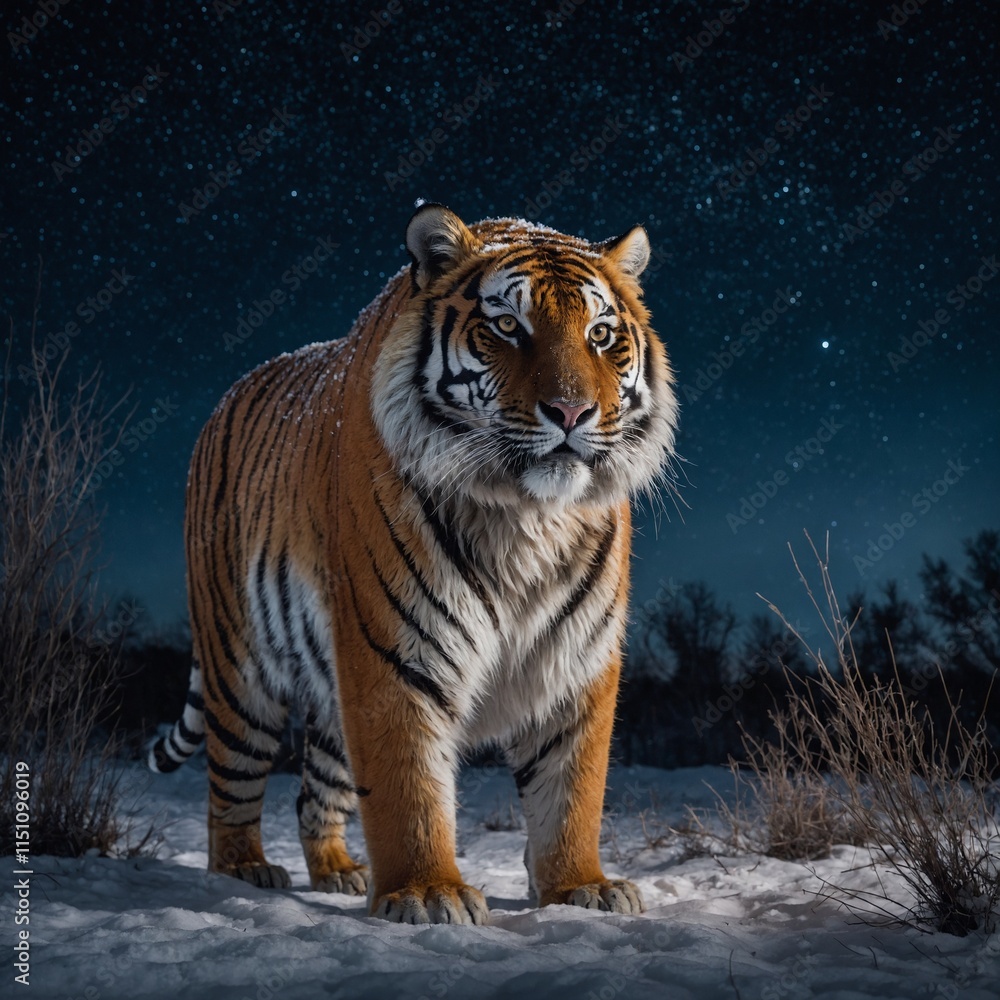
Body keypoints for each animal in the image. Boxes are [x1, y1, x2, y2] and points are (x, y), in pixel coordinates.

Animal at [149, 203, 678, 925]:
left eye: (600, 335)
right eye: (507, 326)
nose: (572, 412)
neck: (528, 517)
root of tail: (232, 394)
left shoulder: (575, 655)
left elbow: (572, 788)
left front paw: (581, 887)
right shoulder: (396, 651)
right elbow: (409, 787)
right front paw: (429, 893)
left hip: (328, 694)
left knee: (315, 793)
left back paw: (338, 872)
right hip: (240, 668)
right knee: (230, 783)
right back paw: (245, 869)